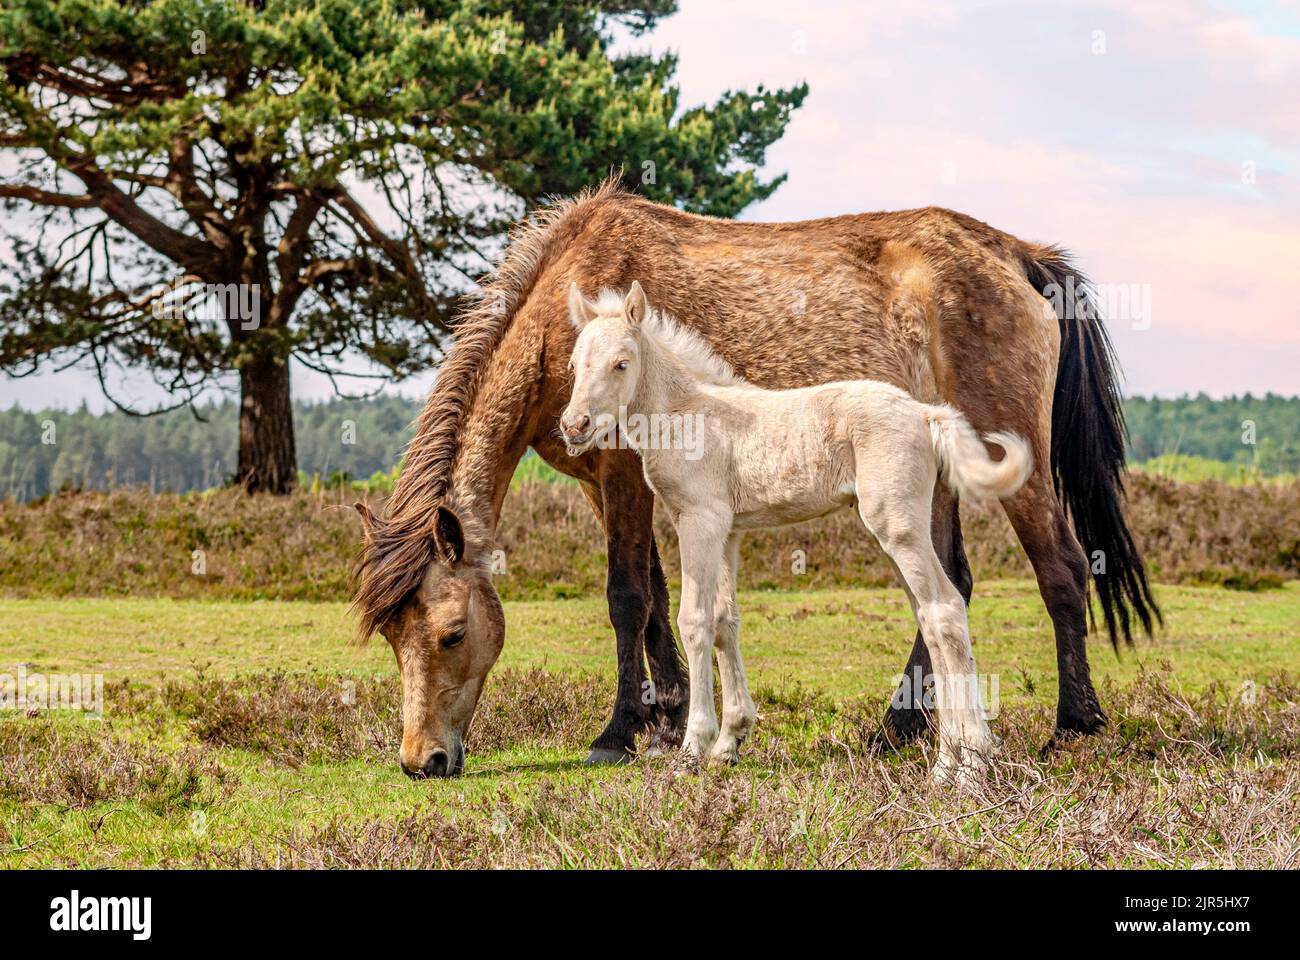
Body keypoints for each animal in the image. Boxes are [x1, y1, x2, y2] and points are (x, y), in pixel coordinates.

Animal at [564, 282, 1029, 780]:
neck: (687, 412)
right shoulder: (728, 531)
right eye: (573, 364)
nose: (574, 425)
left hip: (897, 526)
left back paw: (971, 764)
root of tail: (926, 414)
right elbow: (725, 621)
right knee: (929, 615)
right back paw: (946, 762)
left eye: (621, 363)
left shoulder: (699, 521)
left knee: (944, 609)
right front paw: (728, 743)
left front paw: (692, 749)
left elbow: (694, 620)